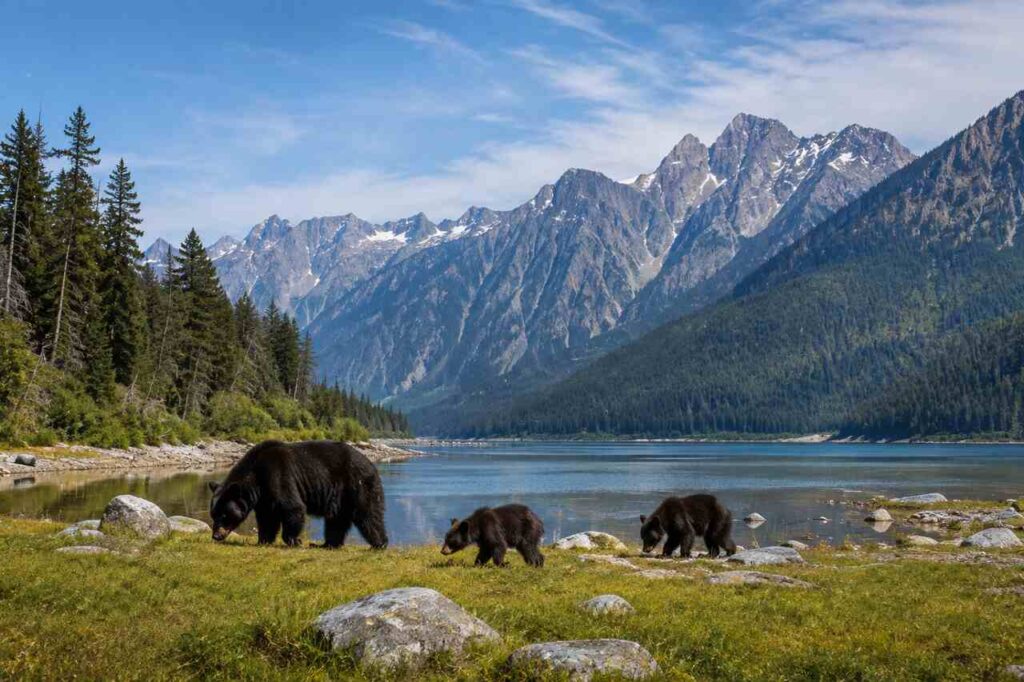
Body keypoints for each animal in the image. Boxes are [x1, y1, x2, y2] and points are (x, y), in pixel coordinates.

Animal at [207, 440, 388, 549]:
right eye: (213, 514)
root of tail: (371, 463)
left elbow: (292, 507)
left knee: (368, 515)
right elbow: (267, 518)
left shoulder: (279, 476)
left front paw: (295, 540)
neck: (256, 478)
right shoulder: (264, 497)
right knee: (337, 520)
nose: (216, 535)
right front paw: (264, 540)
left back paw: (379, 544)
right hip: (342, 498)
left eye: (224, 515)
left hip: (358, 485)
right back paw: (327, 544)